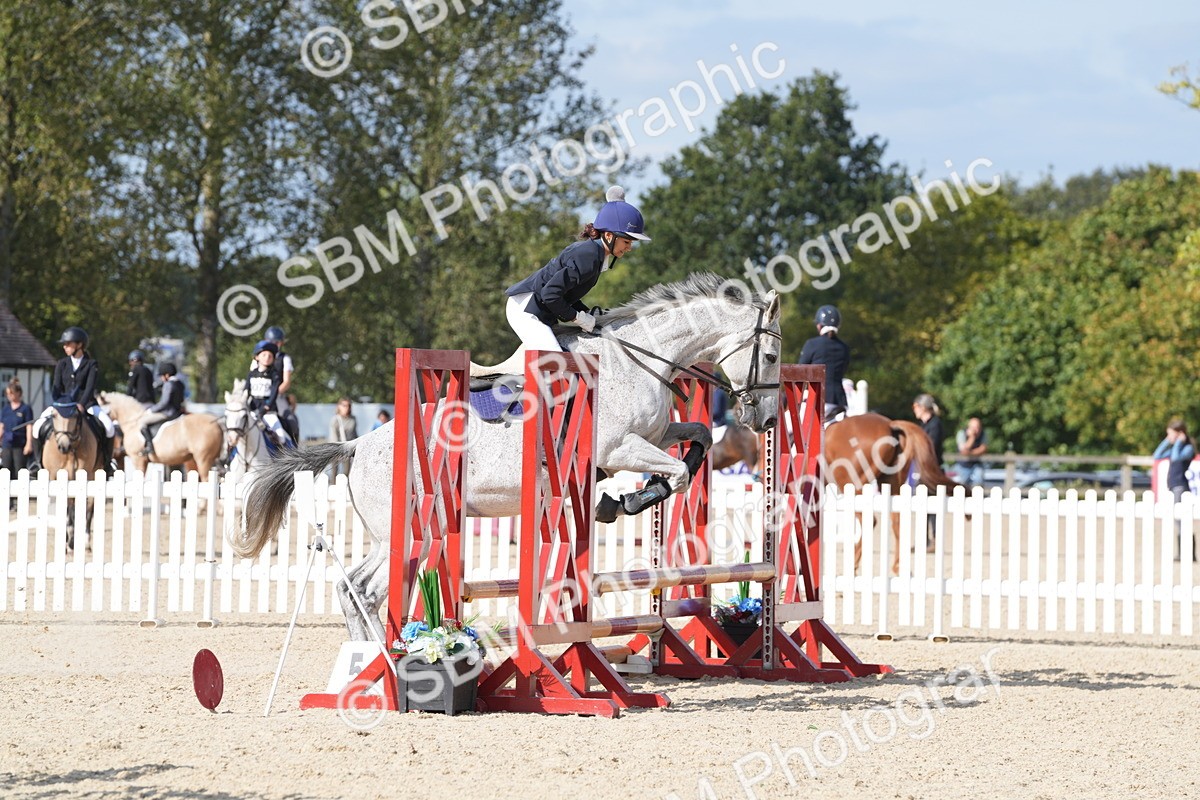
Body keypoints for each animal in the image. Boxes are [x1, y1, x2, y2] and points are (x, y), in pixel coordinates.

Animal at [40, 405, 105, 550]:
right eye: (54, 415)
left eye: (75, 415)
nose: (63, 446)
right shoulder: (56, 477)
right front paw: (65, 539)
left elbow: (74, 509)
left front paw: (70, 541)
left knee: (89, 508)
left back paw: (85, 541)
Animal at [232, 273, 783, 640]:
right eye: (772, 356)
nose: (767, 420)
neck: (638, 358)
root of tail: (358, 444)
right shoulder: (619, 446)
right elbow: (676, 474)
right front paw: (621, 502)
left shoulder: (655, 433)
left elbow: (697, 441)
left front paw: (625, 498)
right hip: (406, 530)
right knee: (362, 590)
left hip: (407, 531)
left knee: (357, 590)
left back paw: (370, 660)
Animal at [823, 412, 956, 574]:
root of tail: (889, 424)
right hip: (892, 483)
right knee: (897, 521)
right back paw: (897, 567)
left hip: (850, 483)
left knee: (869, 520)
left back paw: (852, 565)